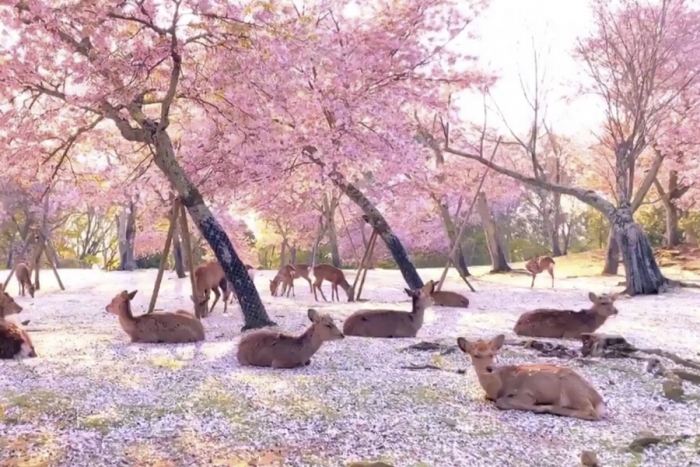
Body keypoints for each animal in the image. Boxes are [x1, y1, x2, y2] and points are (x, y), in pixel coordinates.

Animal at [456, 334, 604, 422]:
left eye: (493, 354)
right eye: (476, 355)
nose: (490, 368)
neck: (496, 387)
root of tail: (598, 399)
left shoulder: (527, 394)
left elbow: (502, 401)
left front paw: (538, 407)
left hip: (573, 389)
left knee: (591, 412)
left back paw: (549, 408)